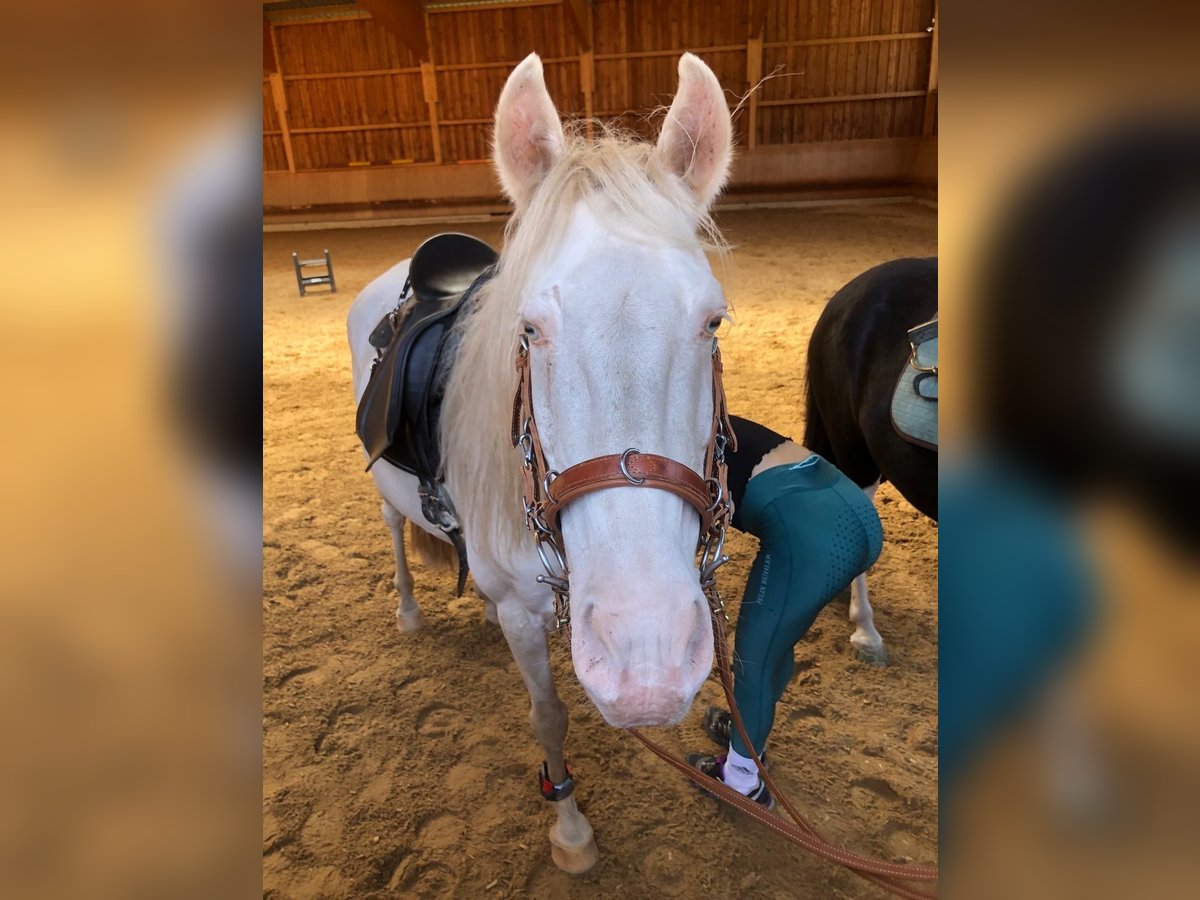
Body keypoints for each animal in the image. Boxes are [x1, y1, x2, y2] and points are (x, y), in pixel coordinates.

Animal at [348, 54, 734, 873]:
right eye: (529, 327)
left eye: (713, 321)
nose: (645, 660)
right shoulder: (525, 617)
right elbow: (548, 713)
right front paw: (571, 829)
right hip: (387, 497)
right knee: (394, 531)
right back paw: (407, 612)